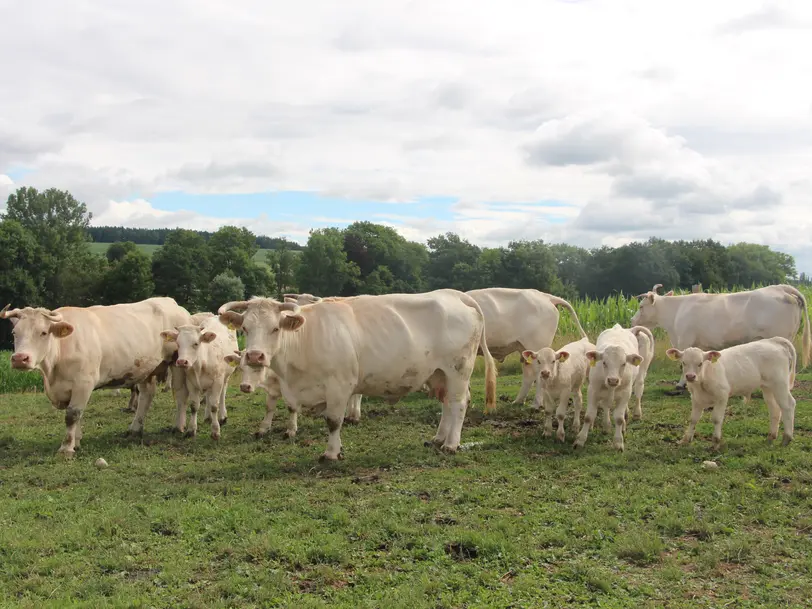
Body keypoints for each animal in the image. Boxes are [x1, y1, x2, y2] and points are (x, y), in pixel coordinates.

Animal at [222, 350, 362, 440]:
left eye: (259, 368)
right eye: (241, 368)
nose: (244, 386)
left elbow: (291, 408)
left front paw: (291, 430)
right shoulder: (272, 391)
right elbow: (269, 408)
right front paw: (263, 429)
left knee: (357, 395)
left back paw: (355, 416)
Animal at [576, 324, 656, 452]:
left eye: (623, 363)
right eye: (604, 362)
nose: (613, 380)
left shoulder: (625, 393)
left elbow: (619, 418)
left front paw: (618, 442)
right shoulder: (593, 390)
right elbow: (589, 416)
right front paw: (580, 440)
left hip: (642, 370)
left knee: (639, 388)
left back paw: (635, 414)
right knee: (607, 405)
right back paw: (608, 425)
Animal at [632, 282, 808, 392]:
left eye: (641, 306)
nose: (632, 320)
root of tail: (780, 288)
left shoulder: (685, 340)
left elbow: (683, 364)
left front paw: (681, 384)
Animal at [668, 338, 800, 446]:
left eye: (700, 363)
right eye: (683, 362)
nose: (690, 376)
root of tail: (773, 341)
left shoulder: (722, 396)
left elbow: (716, 418)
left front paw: (716, 442)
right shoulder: (696, 398)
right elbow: (693, 419)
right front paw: (685, 440)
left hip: (780, 384)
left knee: (788, 405)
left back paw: (786, 438)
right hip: (768, 387)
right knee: (775, 409)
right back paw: (771, 437)